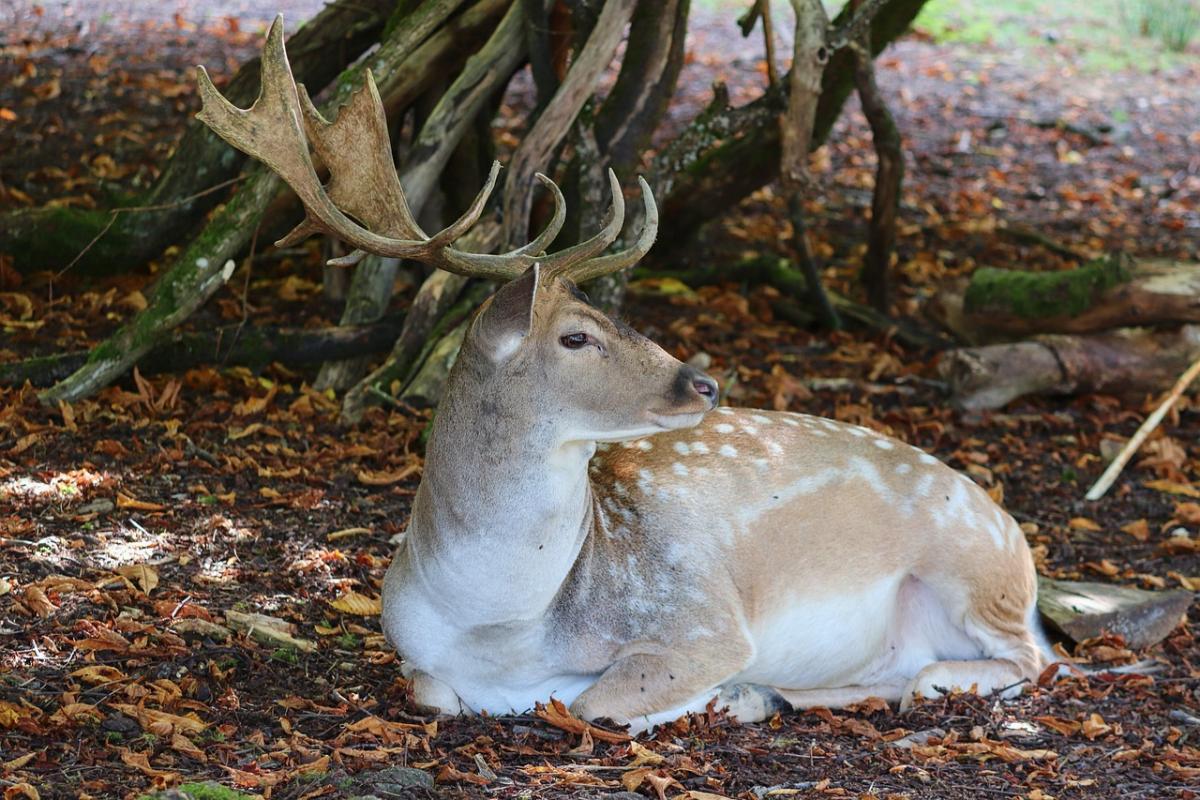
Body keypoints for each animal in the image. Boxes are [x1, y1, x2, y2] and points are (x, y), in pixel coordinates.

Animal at [194, 17, 1051, 734]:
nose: (702, 384)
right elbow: (437, 693)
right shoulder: (414, 654)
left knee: (1030, 661)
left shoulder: (701, 620)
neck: (501, 627)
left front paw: (715, 694)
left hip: (973, 571)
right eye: (576, 336)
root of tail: (1019, 539)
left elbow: (596, 702)